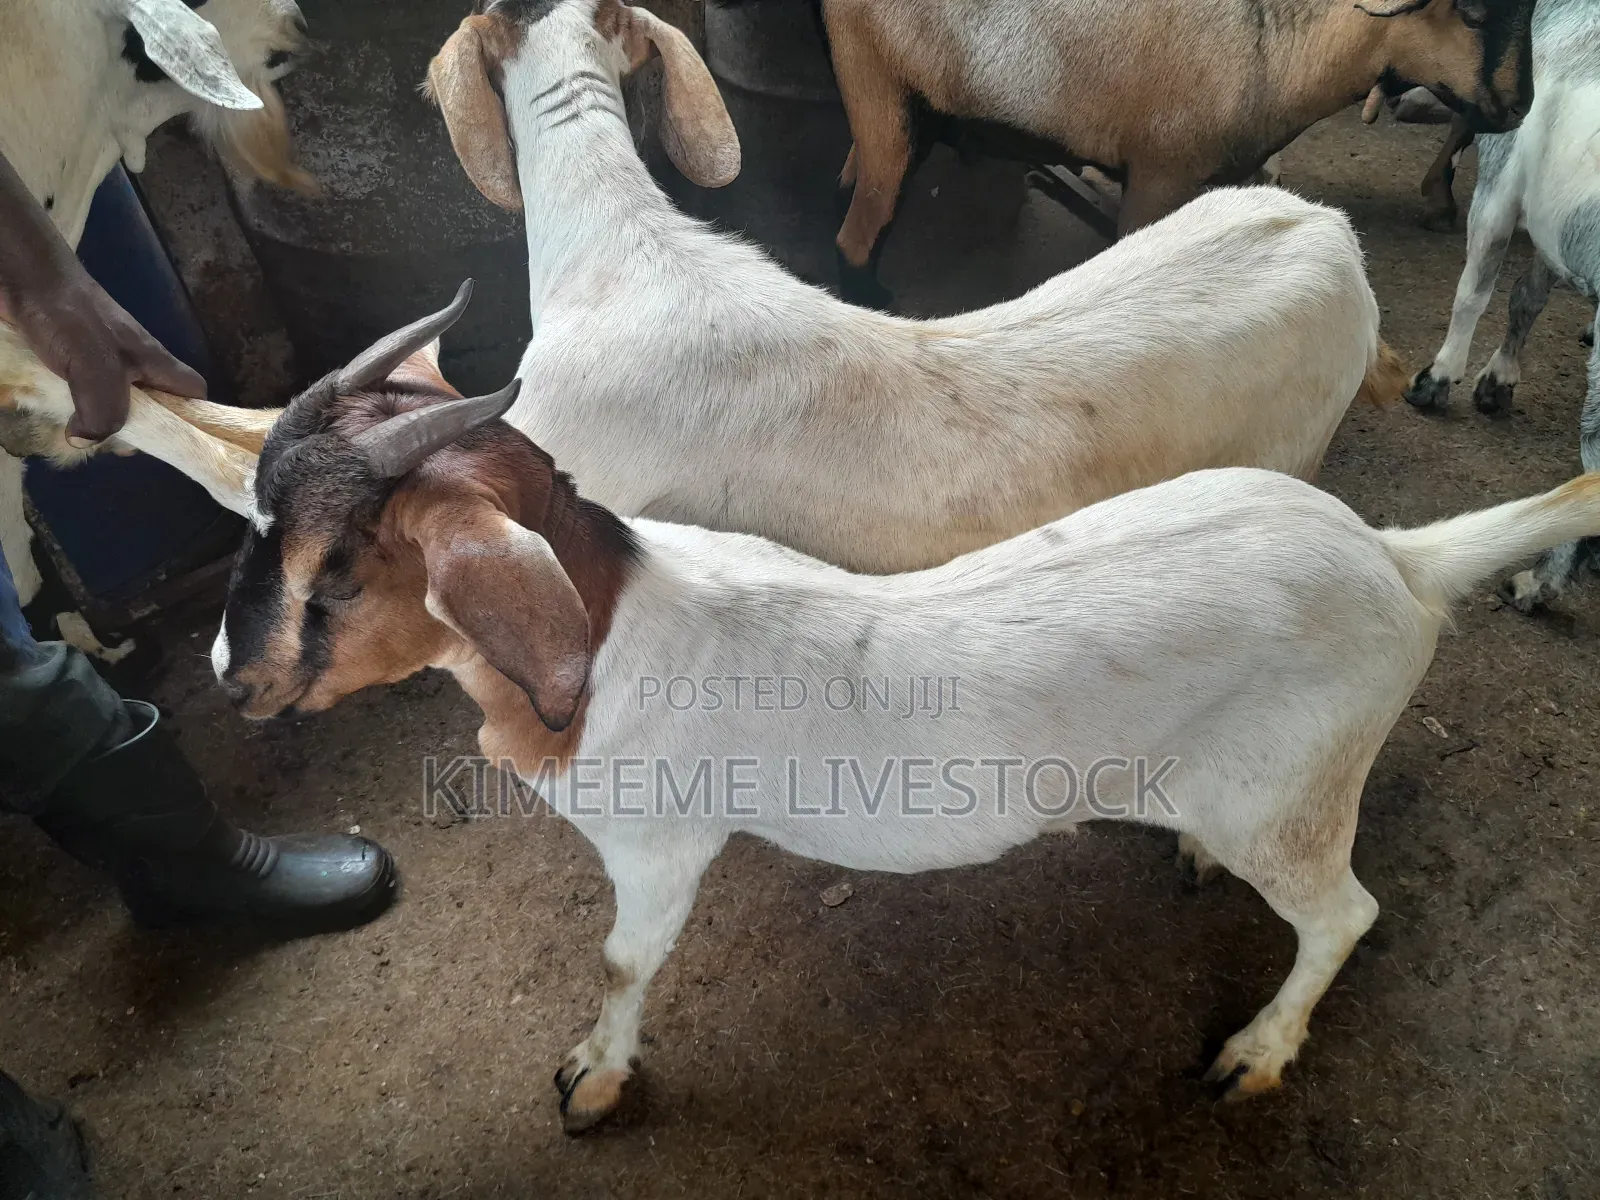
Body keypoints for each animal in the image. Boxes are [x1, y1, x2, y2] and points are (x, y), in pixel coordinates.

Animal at [204, 286, 1600, 1133]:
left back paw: (1257, 1049)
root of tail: (1399, 563)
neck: (609, 627)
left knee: (1345, 913)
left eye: (340, 567)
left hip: (1290, 793)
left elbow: (622, 961)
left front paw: (593, 1081)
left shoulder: (658, 846)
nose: (229, 677)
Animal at [820, 0, 1536, 307]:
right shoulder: (1160, 175)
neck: (1277, 48)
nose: (1518, 106)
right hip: (879, 89)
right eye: (1472, 12)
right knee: (857, 230)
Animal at [1401, 0, 1600, 613]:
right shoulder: (1553, 226)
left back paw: (1538, 582)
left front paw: (1438, 380)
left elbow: (1476, 288)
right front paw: (1498, 380)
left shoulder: (1502, 176)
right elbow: (1525, 298)